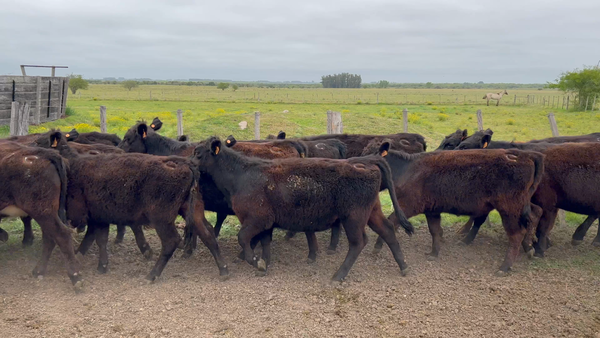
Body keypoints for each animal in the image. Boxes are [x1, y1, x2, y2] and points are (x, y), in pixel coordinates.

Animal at [0, 141, 82, 286]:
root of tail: (44, 153)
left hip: (42, 212)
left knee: (61, 235)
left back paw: (75, 277)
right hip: (48, 213)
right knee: (50, 237)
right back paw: (39, 270)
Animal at [364, 144, 548, 276]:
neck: (407, 169)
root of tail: (524, 155)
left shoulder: (409, 206)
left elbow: (391, 221)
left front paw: (377, 247)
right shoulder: (431, 210)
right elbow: (435, 230)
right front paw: (434, 253)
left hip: (509, 209)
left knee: (516, 234)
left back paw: (504, 266)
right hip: (522, 204)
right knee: (535, 213)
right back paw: (529, 247)